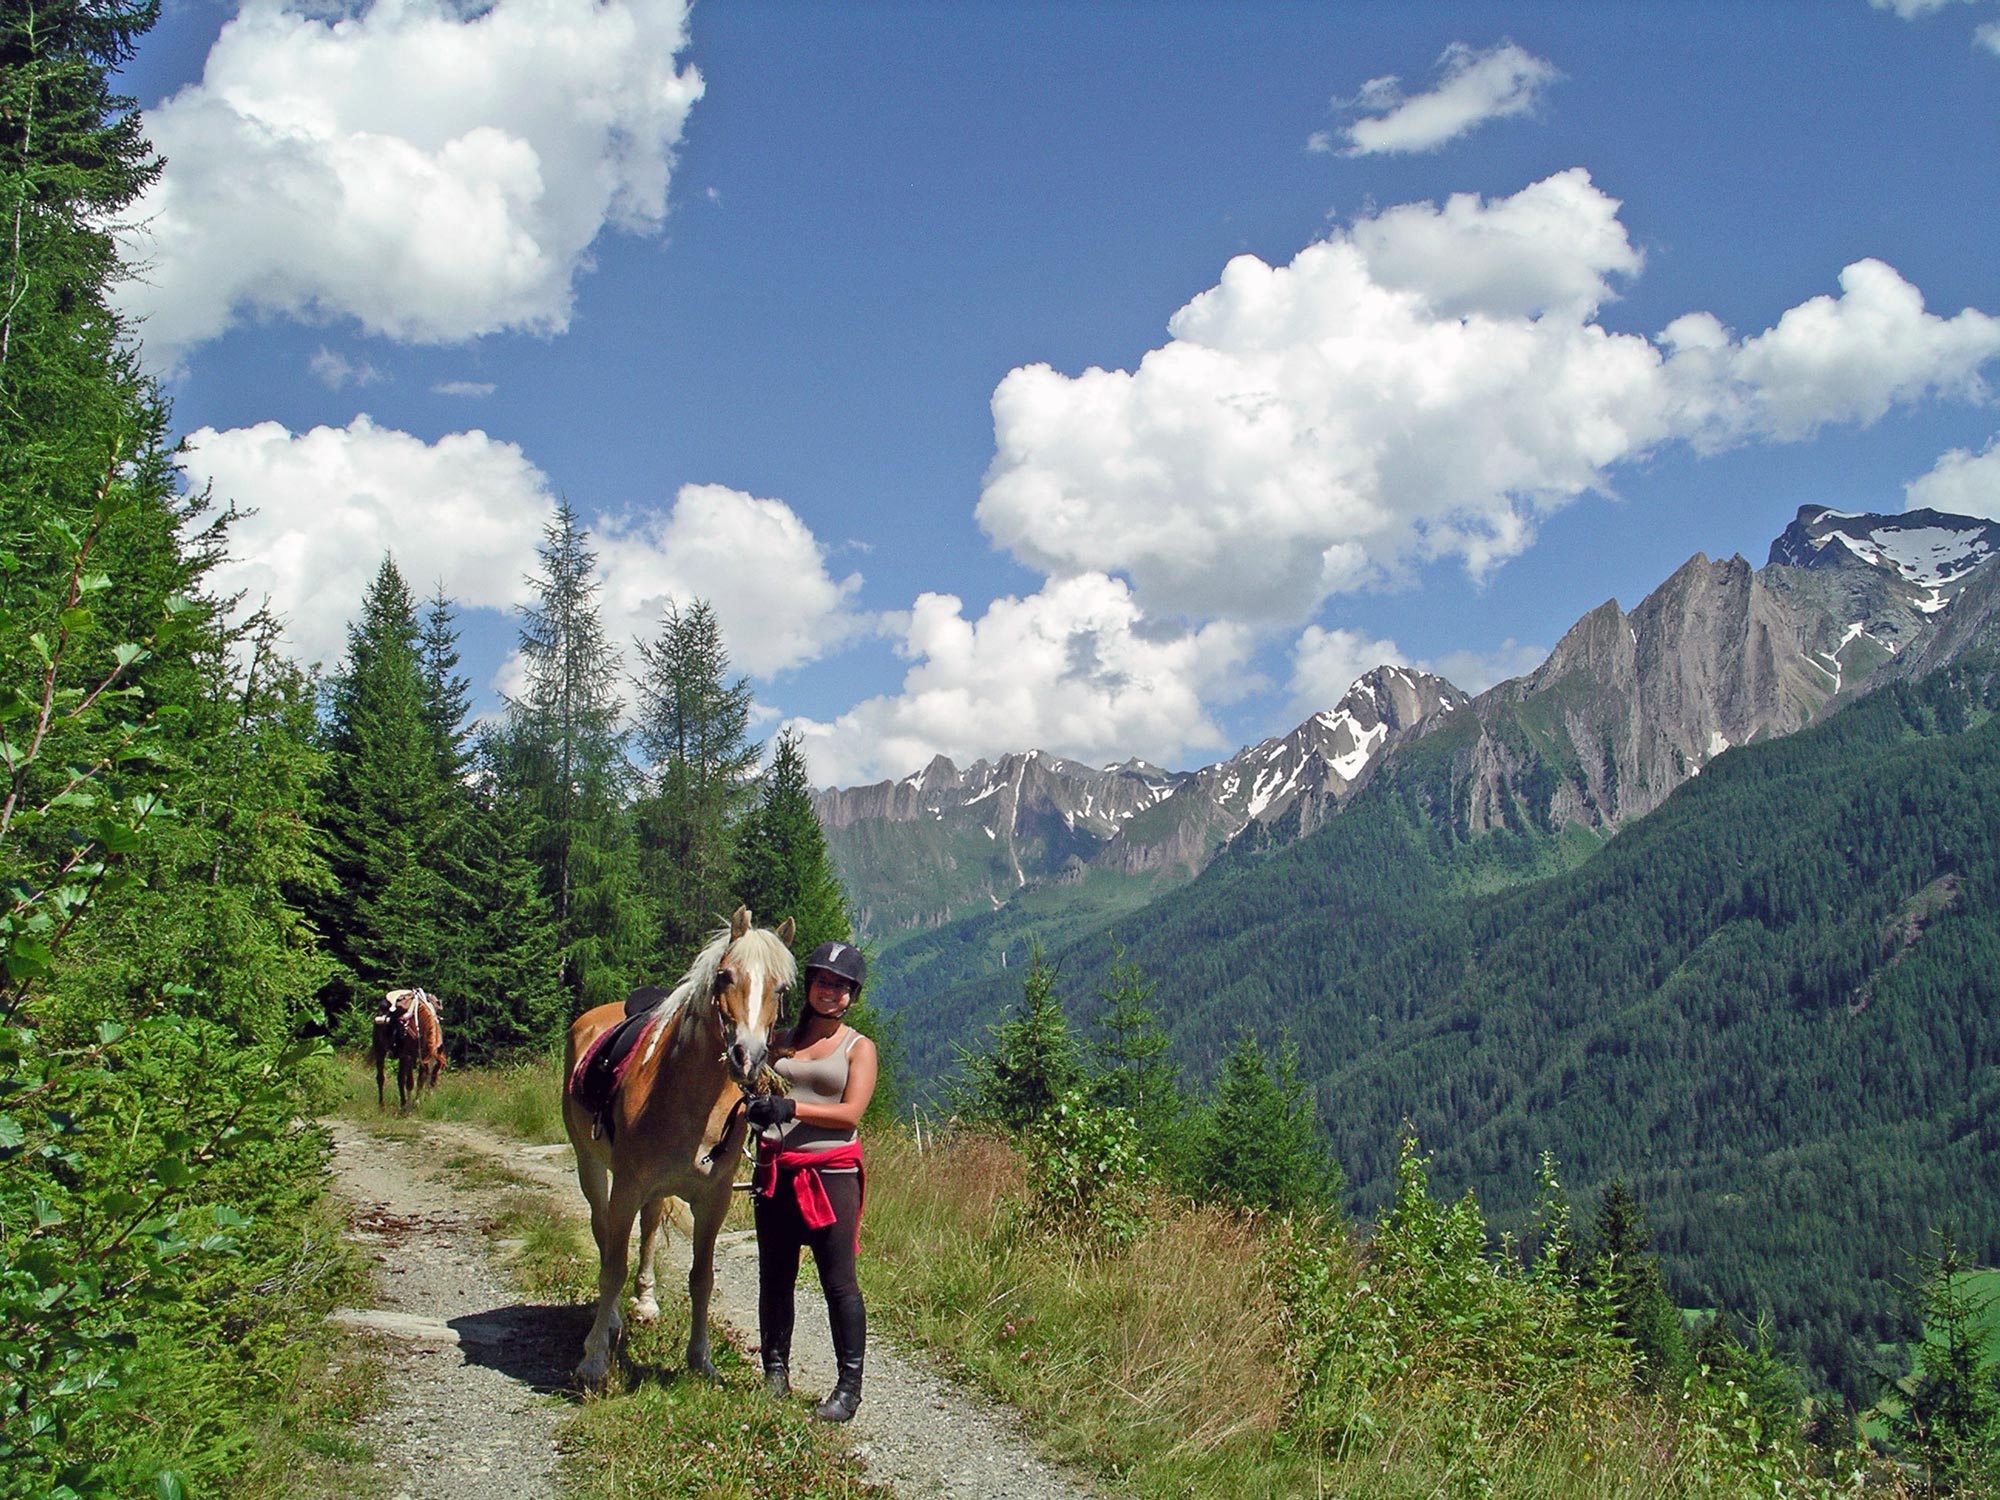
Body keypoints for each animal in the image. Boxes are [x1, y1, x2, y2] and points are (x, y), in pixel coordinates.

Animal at [564, 904, 796, 1384]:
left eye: (781, 989)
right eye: (725, 975)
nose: (748, 1058)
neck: (688, 1097)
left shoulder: (714, 1199)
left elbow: (701, 1277)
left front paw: (700, 1360)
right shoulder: (626, 1186)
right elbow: (612, 1267)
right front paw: (594, 1360)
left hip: (654, 1190)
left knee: (650, 1226)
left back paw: (646, 1300)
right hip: (590, 1166)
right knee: (603, 1232)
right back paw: (611, 1319)